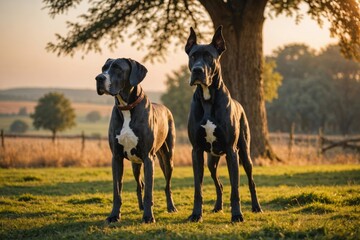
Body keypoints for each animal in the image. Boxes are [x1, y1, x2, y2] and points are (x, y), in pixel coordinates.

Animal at [94, 58, 176, 223]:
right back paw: (141, 207)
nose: (99, 78)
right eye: (103, 68)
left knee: (167, 185)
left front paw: (148, 217)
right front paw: (114, 215)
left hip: (167, 158)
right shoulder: (116, 158)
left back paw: (170, 207)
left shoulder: (148, 157)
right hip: (135, 164)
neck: (126, 108)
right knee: (140, 184)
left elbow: (149, 191)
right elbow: (117, 190)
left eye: (117, 68)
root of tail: (166, 109)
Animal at [186, 25, 262, 222]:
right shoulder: (196, 151)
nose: (197, 70)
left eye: (209, 56)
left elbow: (235, 188)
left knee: (251, 181)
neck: (207, 98)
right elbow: (198, 188)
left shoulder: (231, 150)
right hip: (211, 161)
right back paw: (217, 207)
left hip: (245, 153)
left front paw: (237, 215)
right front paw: (196, 214)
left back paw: (256, 207)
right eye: (193, 56)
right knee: (218, 184)